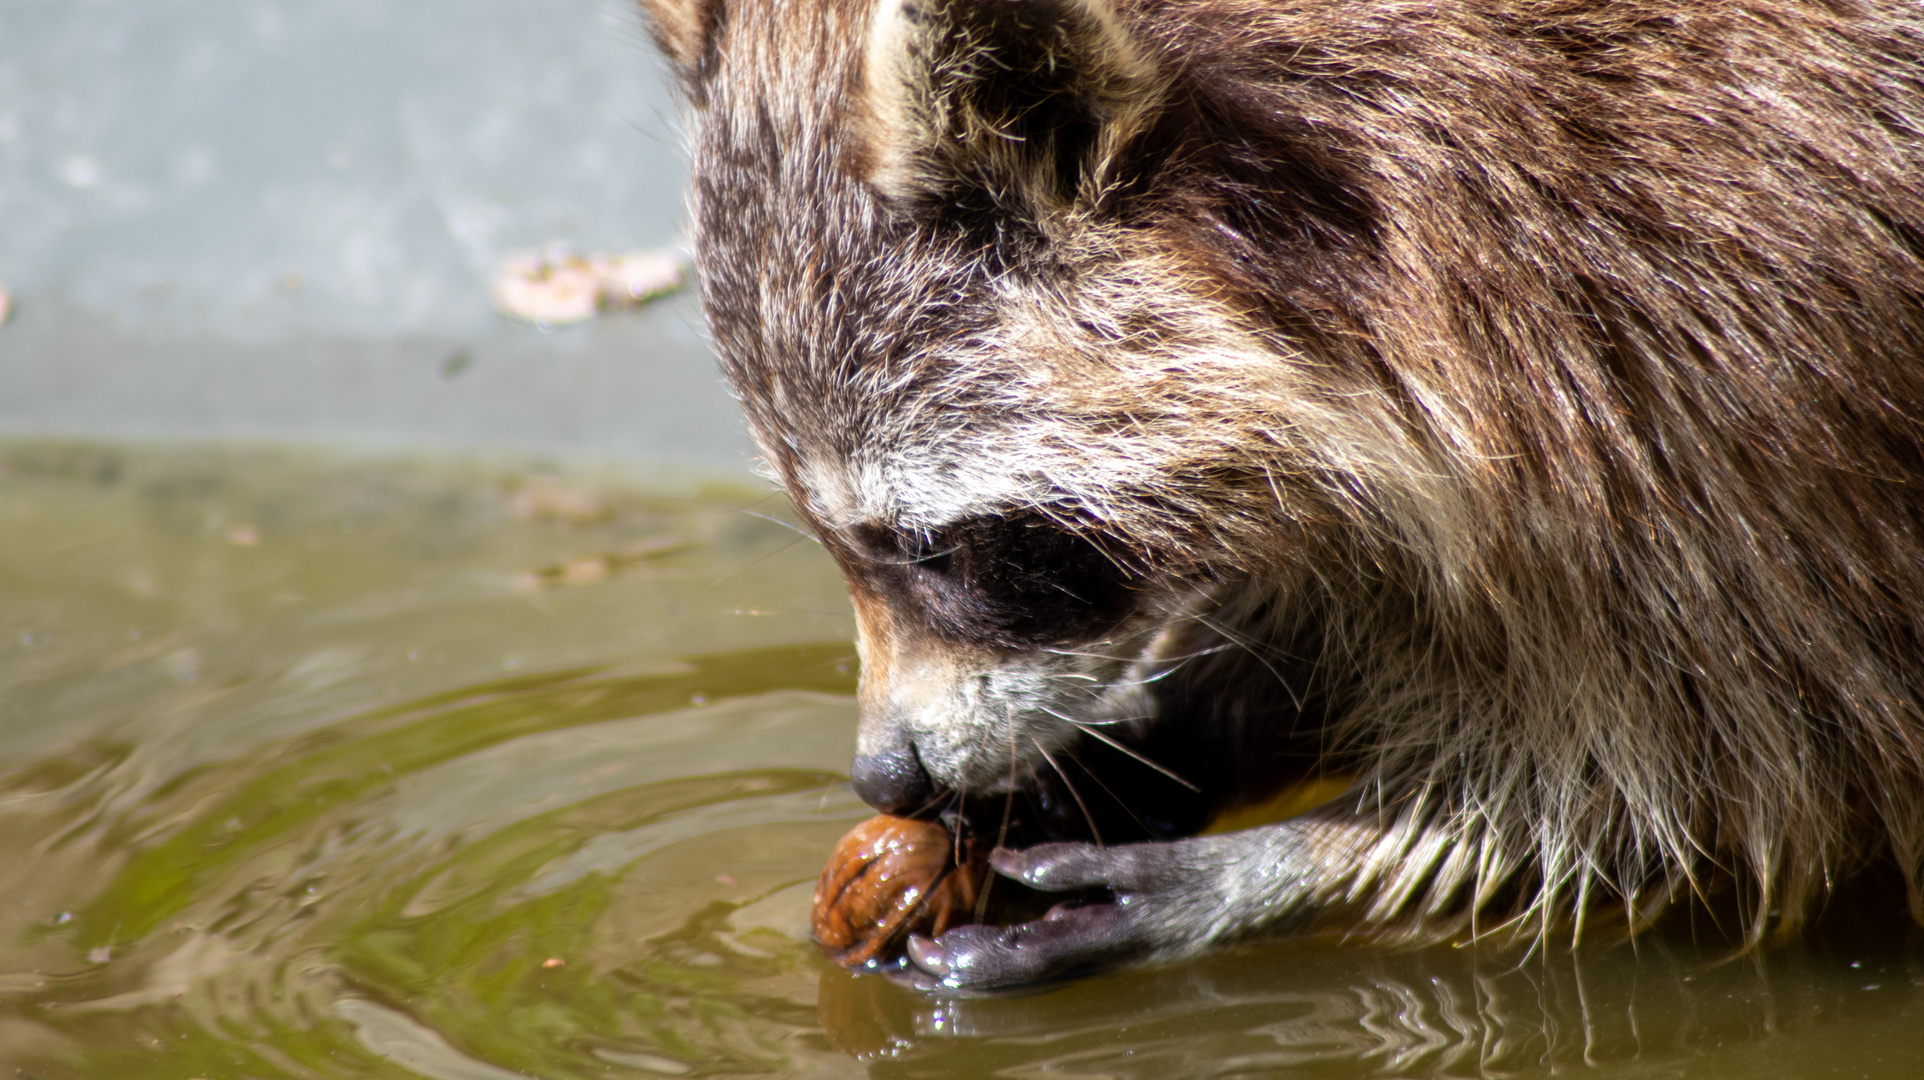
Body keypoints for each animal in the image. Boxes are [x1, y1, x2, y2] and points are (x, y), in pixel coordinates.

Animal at [638, 0, 1924, 985]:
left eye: (939, 549)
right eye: (833, 537)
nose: (884, 775)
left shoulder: (1727, 359)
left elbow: (1730, 774)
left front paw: (1288, 863)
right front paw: (1155, 737)